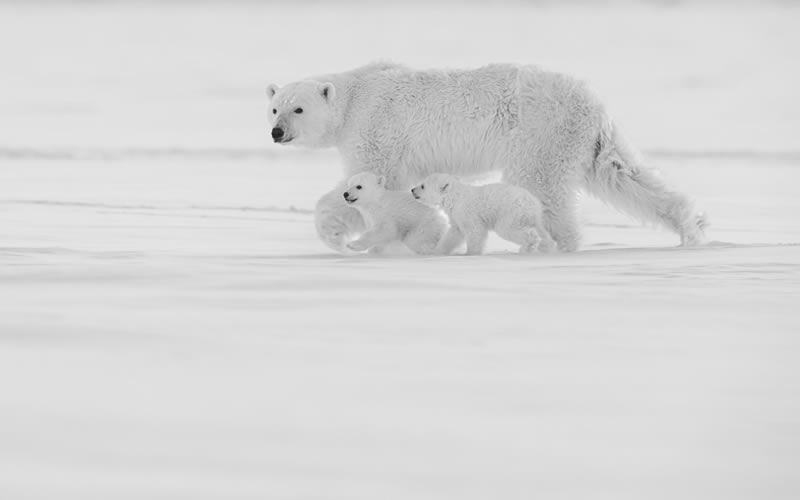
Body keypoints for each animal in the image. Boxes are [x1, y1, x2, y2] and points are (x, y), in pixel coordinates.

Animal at [268, 62, 708, 252]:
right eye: (274, 108)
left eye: (298, 109)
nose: (277, 133)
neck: (355, 97)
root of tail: (592, 103)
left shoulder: (376, 131)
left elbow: (369, 181)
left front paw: (334, 232)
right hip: (586, 140)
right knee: (620, 173)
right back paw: (691, 227)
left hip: (540, 131)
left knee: (542, 186)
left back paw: (555, 245)